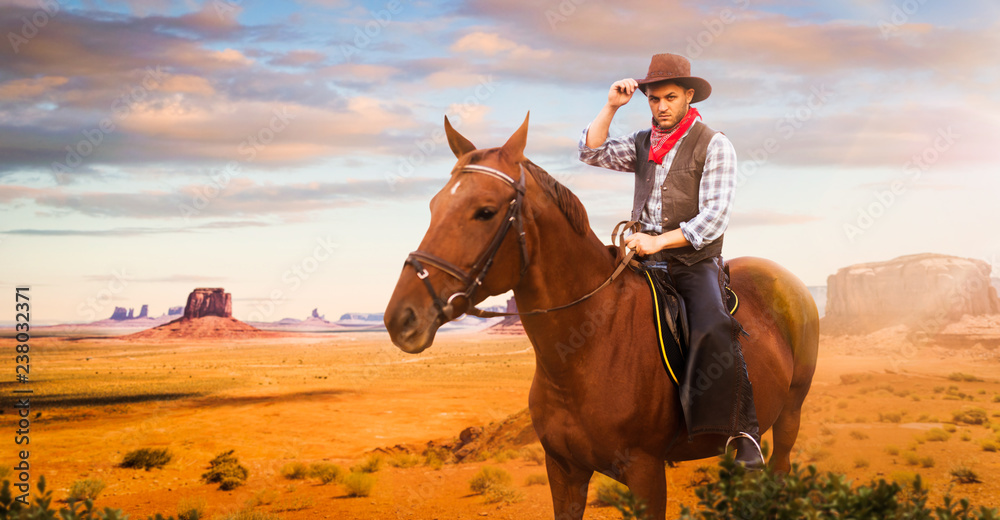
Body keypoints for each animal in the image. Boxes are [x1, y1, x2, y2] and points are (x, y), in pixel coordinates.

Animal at [384, 112, 820, 516]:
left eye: (486, 211)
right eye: (434, 205)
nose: (400, 318)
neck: (587, 346)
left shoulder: (646, 474)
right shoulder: (564, 471)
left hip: (790, 416)